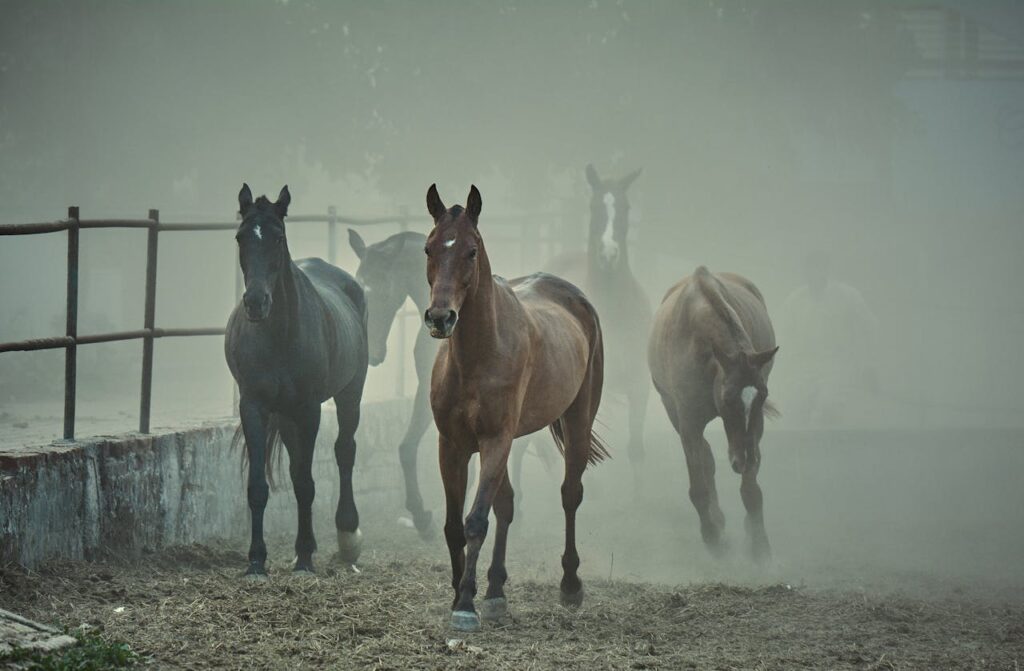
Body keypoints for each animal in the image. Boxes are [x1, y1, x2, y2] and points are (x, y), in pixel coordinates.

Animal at [224, 184, 369, 579]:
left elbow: (305, 483)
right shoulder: (254, 407)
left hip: (350, 392)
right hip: (286, 416)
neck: (278, 334)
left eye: (278, 237)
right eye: (241, 237)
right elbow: (258, 486)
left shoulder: (308, 409)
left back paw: (348, 536)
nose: (256, 302)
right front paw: (256, 561)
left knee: (345, 450)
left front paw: (304, 558)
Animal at [424, 184, 608, 631]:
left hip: (577, 421)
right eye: (428, 248)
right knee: (507, 505)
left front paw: (465, 605)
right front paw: (462, 593)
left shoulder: (494, 441)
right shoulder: (452, 445)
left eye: (471, 250)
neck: (478, 354)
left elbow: (476, 521)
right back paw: (495, 590)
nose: (440, 317)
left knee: (570, 494)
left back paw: (570, 585)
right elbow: (455, 525)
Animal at [647, 266, 778, 562]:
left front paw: (759, 545)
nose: (744, 461)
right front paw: (712, 537)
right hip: (674, 414)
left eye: (762, 395)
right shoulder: (688, 424)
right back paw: (716, 522)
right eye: (728, 398)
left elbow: (751, 490)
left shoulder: (755, 427)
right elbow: (699, 486)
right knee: (706, 458)